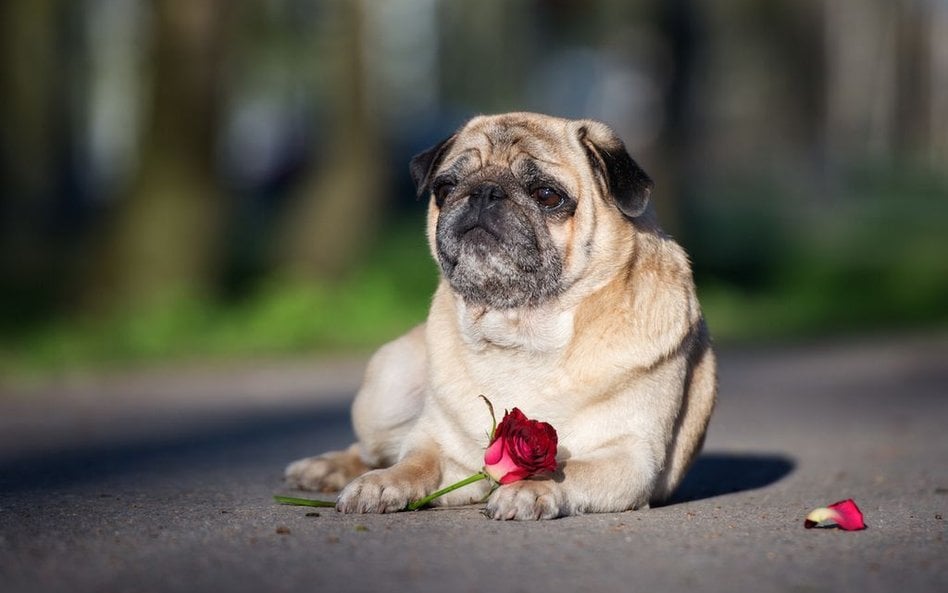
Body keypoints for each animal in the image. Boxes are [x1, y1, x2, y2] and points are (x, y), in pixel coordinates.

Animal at [286, 111, 716, 520]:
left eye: (547, 195)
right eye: (444, 189)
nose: (484, 192)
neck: (520, 331)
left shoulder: (630, 457)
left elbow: (567, 470)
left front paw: (530, 488)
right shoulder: (438, 446)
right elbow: (414, 463)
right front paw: (381, 483)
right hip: (386, 388)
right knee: (371, 450)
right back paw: (328, 468)